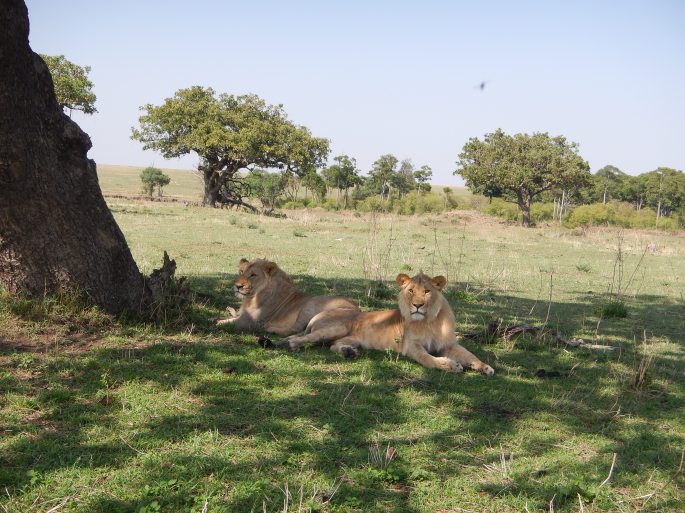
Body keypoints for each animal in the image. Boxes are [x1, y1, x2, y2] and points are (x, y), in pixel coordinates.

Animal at [216, 258, 359, 336]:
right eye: (241, 272)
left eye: (253, 275)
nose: (237, 286)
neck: (252, 297)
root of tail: (358, 311)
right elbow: (225, 318)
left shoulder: (250, 322)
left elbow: (223, 323)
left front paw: (216, 323)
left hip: (310, 305)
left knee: (295, 329)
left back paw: (271, 329)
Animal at [275, 272, 494, 375]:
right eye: (411, 291)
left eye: (427, 291)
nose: (417, 305)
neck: (429, 321)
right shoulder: (411, 347)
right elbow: (427, 359)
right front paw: (449, 365)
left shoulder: (448, 344)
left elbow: (470, 355)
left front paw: (485, 367)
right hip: (336, 327)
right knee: (303, 338)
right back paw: (292, 345)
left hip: (352, 338)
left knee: (332, 345)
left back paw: (349, 352)